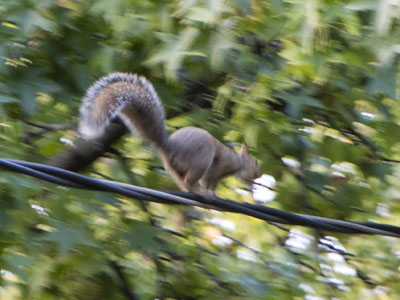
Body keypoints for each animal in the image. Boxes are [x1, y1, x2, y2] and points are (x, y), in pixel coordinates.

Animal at [78, 74, 262, 193]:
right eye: (255, 162)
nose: (260, 175)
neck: (238, 162)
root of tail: (168, 147)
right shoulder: (220, 166)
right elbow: (209, 184)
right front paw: (211, 194)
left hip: (175, 167)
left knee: (181, 181)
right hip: (202, 159)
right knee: (189, 180)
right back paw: (192, 189)